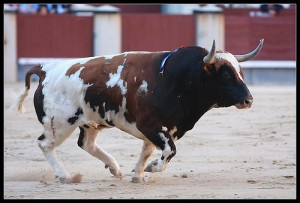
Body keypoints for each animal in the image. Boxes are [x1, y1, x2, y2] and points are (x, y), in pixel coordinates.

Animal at [16, 38, 264, 183]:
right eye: (226, 74)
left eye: (240, 72)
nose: (249, 100)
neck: (177, 78)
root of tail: (47, 69)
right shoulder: (152, 126)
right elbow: (169, 150)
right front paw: (153, 168)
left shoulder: (161, 129)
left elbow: (148, 151)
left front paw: (138, 174)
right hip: (59, 123)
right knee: (45, 144)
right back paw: (66, 176)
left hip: (90, 122)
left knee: (86, 144)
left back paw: (115, 168)